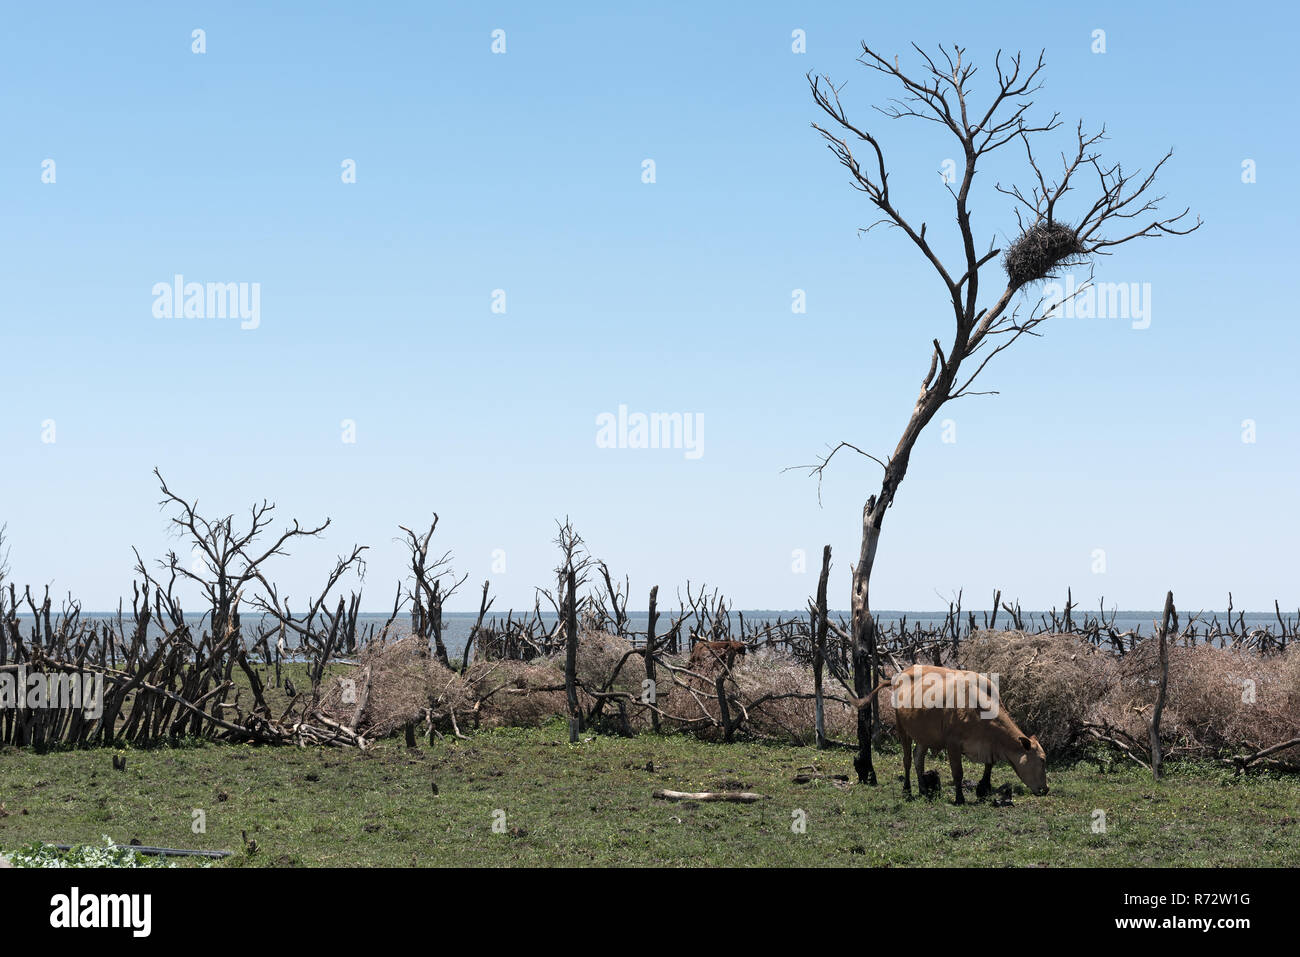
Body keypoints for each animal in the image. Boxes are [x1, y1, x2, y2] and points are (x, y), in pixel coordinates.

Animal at [847, 660, 1050, 806]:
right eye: (1042, 760)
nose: (1046, 789)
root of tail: (900, 675)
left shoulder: (988, 745)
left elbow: (989, 765)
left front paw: (983, 789)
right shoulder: (953, 744)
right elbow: (957, 772)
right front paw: (960, 798)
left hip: (924, 733)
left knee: (918, 757)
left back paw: (923, 789)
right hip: (902, 727)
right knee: (907, 759)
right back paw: (908, 790)